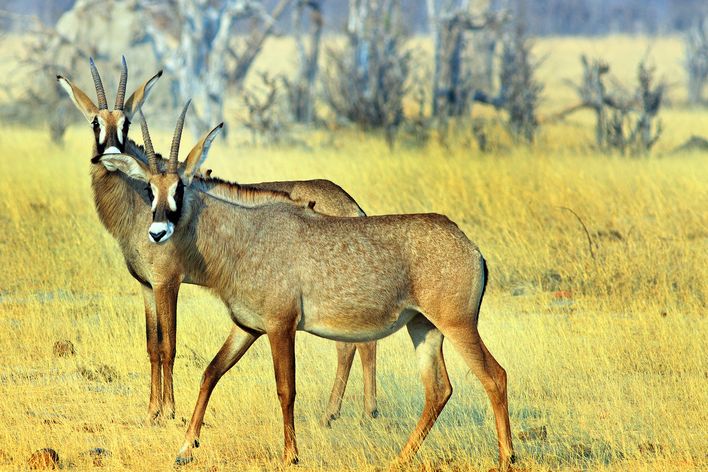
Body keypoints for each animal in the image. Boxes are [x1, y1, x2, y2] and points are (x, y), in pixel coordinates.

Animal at [56, 58, 378, 424]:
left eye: (126, 122)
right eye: (96, 122)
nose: (109, 154)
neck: (139, 203)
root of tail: (352, 205)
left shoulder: (168, 282)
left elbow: (169, 345)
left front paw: (168, 411)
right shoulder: (146, 286)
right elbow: (152, 345)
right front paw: (152, 410)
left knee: (356, 343)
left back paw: (357, 412)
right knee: (352, 343)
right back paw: (340, 412)